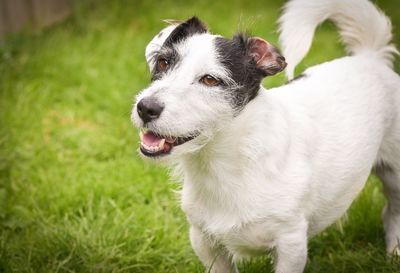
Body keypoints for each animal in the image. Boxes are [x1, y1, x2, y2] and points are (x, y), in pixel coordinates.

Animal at [131, 0, 400, 270]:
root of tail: (370, 57)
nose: (145, 108)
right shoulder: (204, 241)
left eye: (210, 80)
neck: (227, 163)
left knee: (392, 212)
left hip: (395, 175)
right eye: (163, 63)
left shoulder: (291, 243)